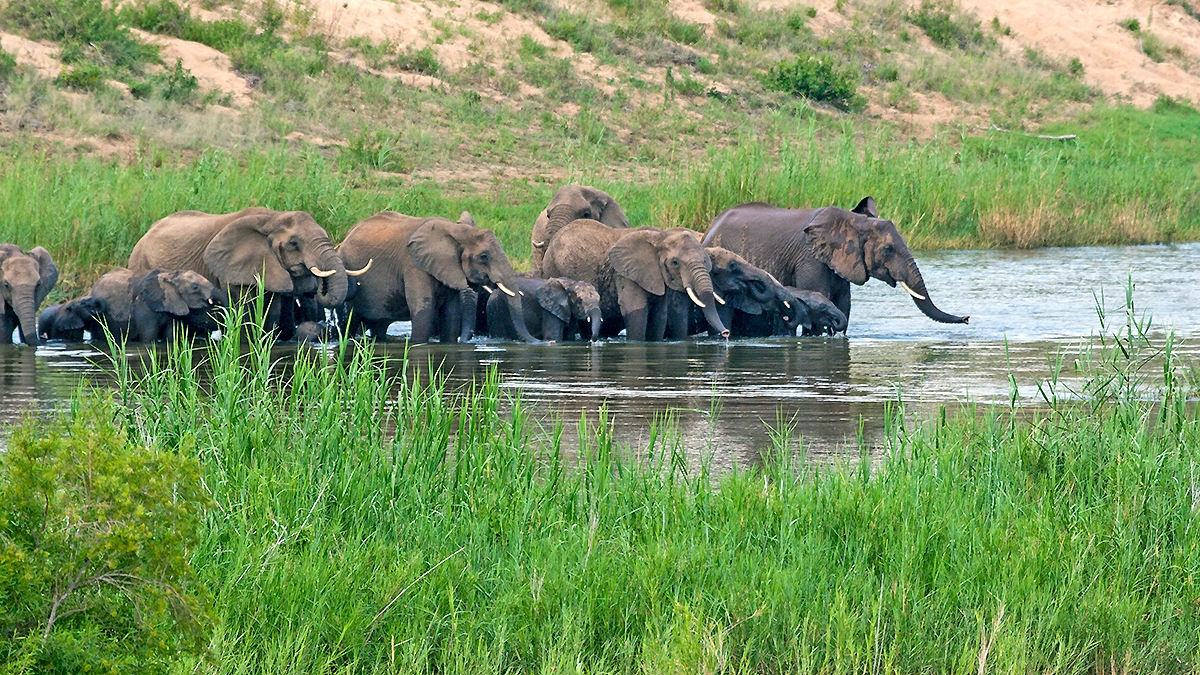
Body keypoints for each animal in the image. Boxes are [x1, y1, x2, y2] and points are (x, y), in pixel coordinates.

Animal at [127, 208, 368, 335]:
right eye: (293, 244)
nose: (316, 288)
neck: (272, 217)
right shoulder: (233, 267)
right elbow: (242, 308)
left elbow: (272, 309)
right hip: (140, 261)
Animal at [338, 211, 538, 344]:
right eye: (484, 257)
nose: (541, 342)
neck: (457, 232)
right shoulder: (413, 264)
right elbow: (423, 310)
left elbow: (452, 313)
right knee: (350, 321)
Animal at [541, 220, 729, 341]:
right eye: (675, 262)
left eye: (705, 261)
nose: (726, 333)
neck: (661, 236)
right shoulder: (625, 273)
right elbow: (636, 311)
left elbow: (659, 316)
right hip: (551, 268)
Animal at [703, 197, 968, 327]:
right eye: (888, 250)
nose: (966, 318)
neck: (853, 221)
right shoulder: (810, 258)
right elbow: (821, 300)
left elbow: (844, 305)